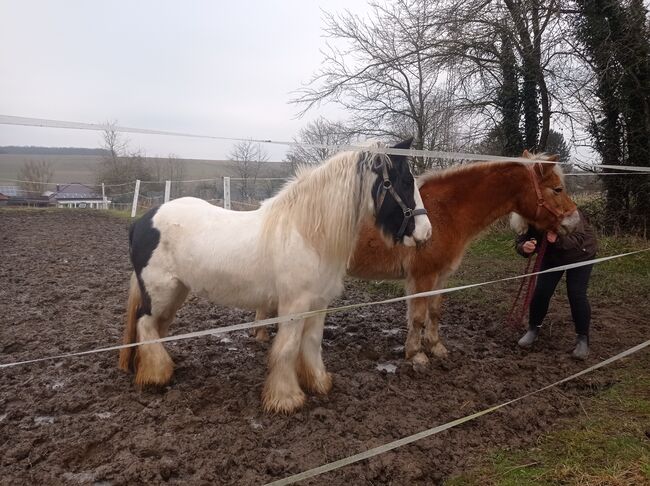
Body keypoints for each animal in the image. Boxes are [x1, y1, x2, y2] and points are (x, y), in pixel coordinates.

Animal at [117, 140, 430, 414]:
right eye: (405, 181)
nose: (426, 232)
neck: (307, 232)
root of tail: (142, 221)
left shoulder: (318, 305)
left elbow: (311, 344)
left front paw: (318, 383)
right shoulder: (294, 306)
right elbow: (287, 349)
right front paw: (286, 399)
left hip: (176, 292)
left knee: (155, 327)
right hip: (161, 291)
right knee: (145, 324)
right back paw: (157, 375)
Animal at [252, 152, 576, 368]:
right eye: (557, 189)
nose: (574, 221)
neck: (445, 211)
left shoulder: (440, 276)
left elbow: (434, 313)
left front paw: (436, 347)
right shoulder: (422, 276)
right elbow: (418, 316)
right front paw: (416, 354)